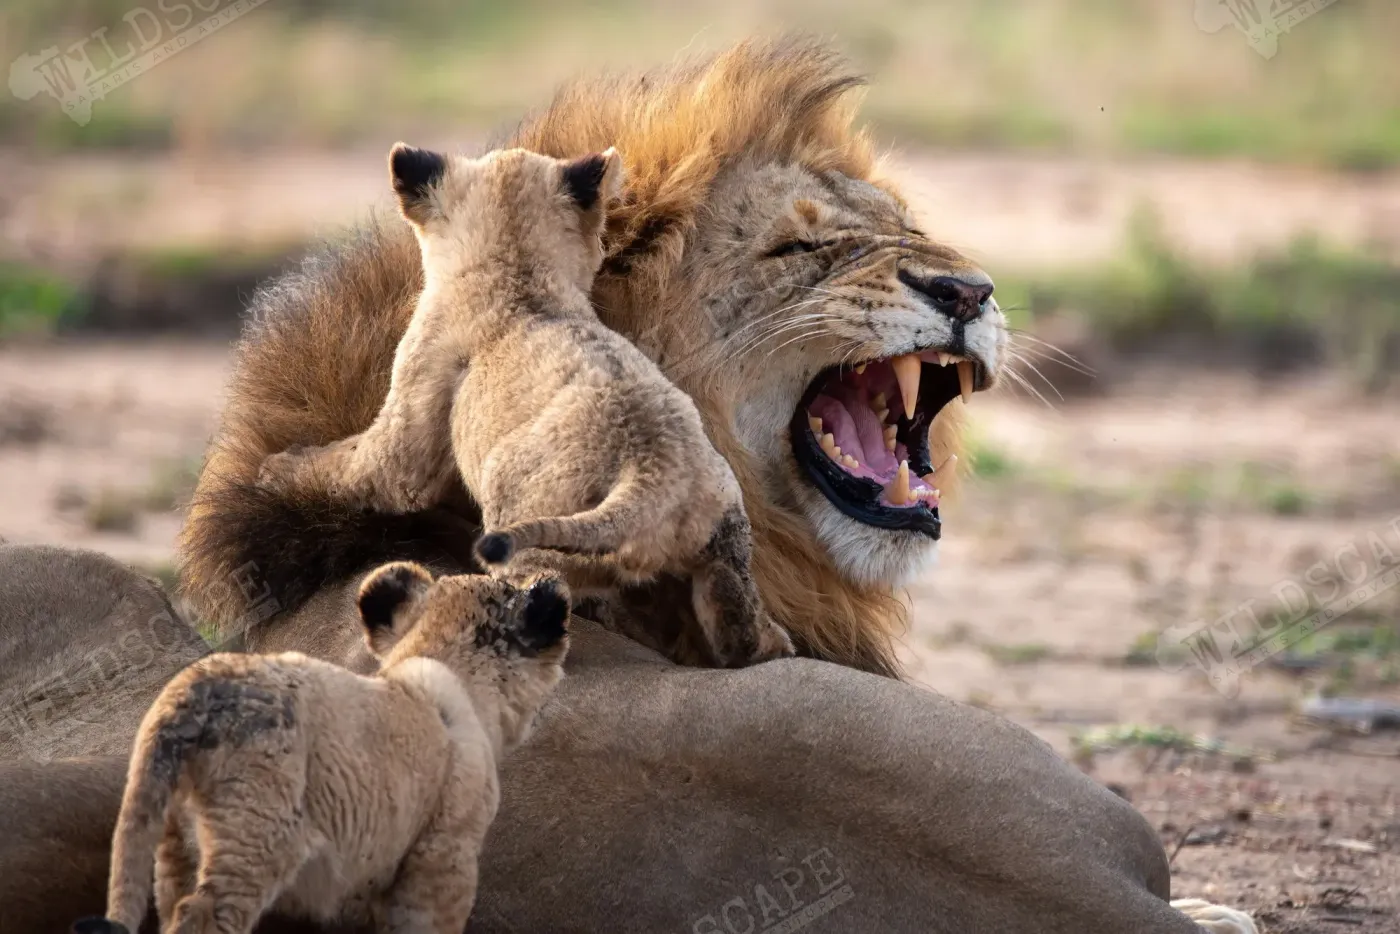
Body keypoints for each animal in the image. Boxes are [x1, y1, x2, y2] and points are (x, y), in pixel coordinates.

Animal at [73, 562, 570, 934]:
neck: (442, 660)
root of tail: (195, 690)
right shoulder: (443, 856)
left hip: (170, 837)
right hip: (252, 837)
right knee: (203, 915)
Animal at [257, 143, 792, 667]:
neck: (516, 269)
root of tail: (650, 474)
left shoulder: (411, 416)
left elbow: (356, 466)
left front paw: (274, 469)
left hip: (521, 514)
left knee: (548, 592)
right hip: (724, 537)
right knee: (734, 628)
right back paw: (771, 642)